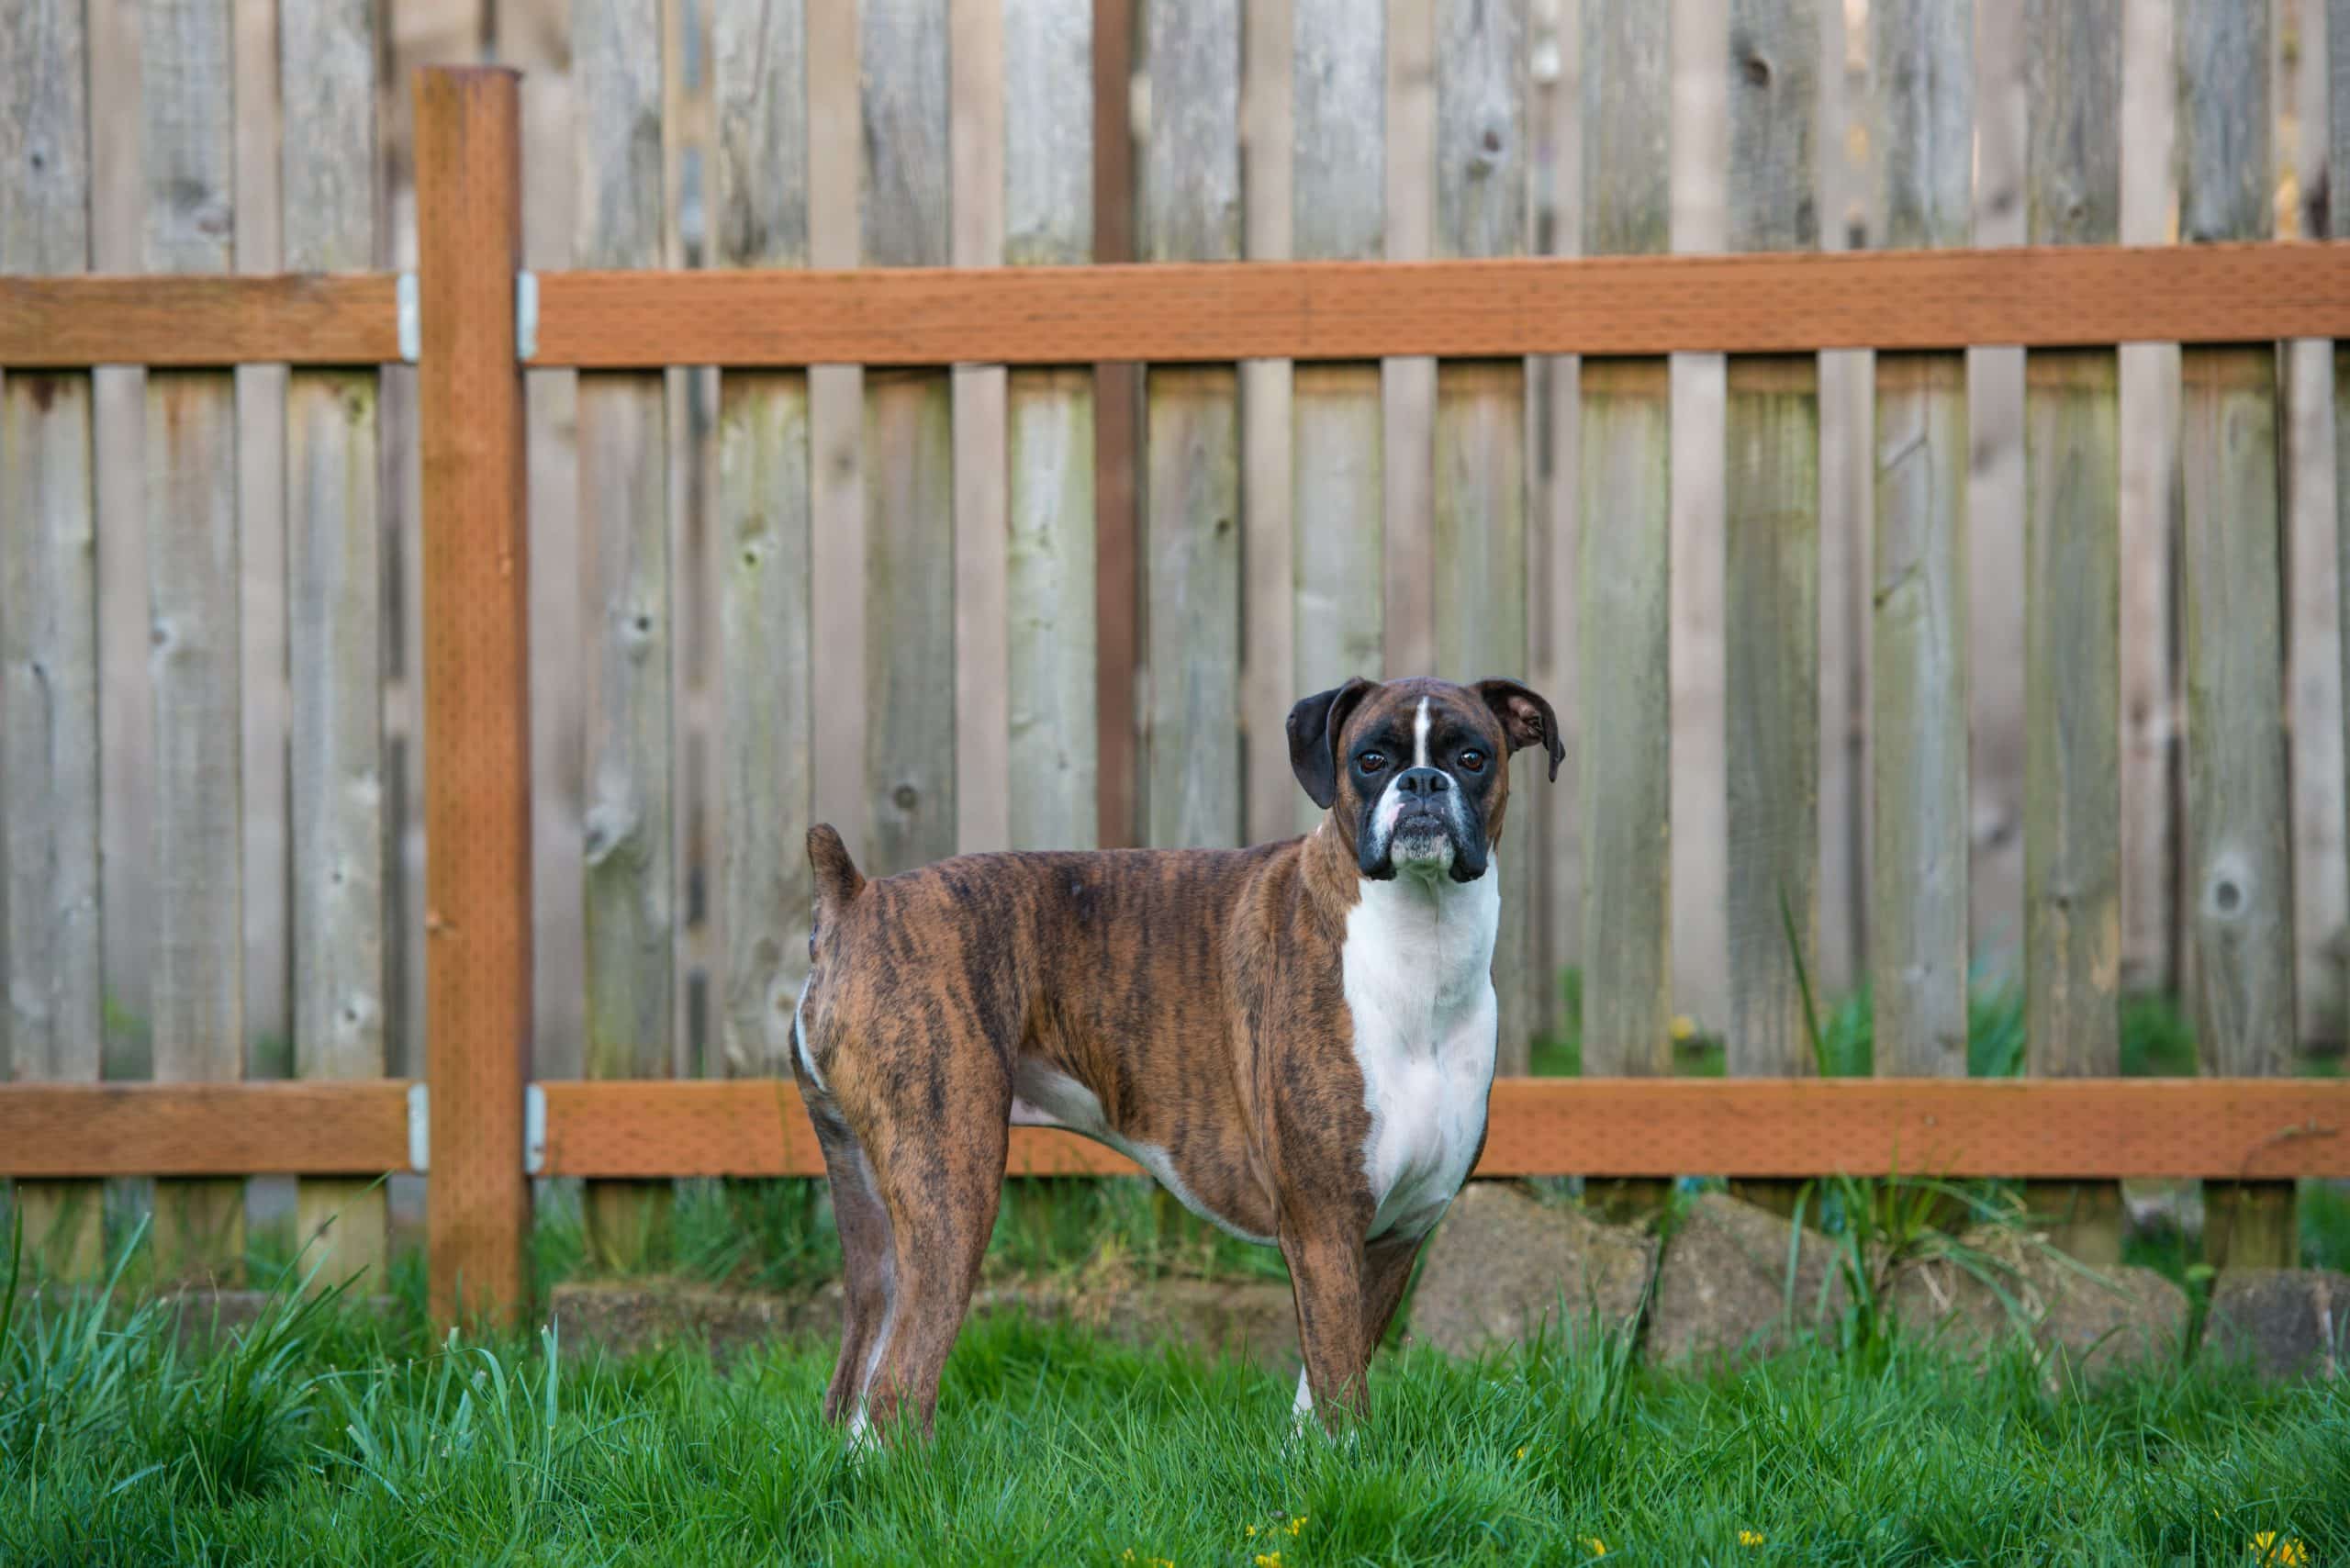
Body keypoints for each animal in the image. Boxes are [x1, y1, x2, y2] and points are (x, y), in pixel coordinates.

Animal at [794, 677, 1560, 1439]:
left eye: (1472, 757)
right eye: (1370, 760)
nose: (1423, 781)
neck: (1419, 944)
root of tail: (858, 898)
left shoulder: (1393, 1238)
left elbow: (1321, 1386)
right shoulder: (1326, 1228)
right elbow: (1344, 1396)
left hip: (873, 1217)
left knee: (853, 1390)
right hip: (954, 1193)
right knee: (897, 1389)